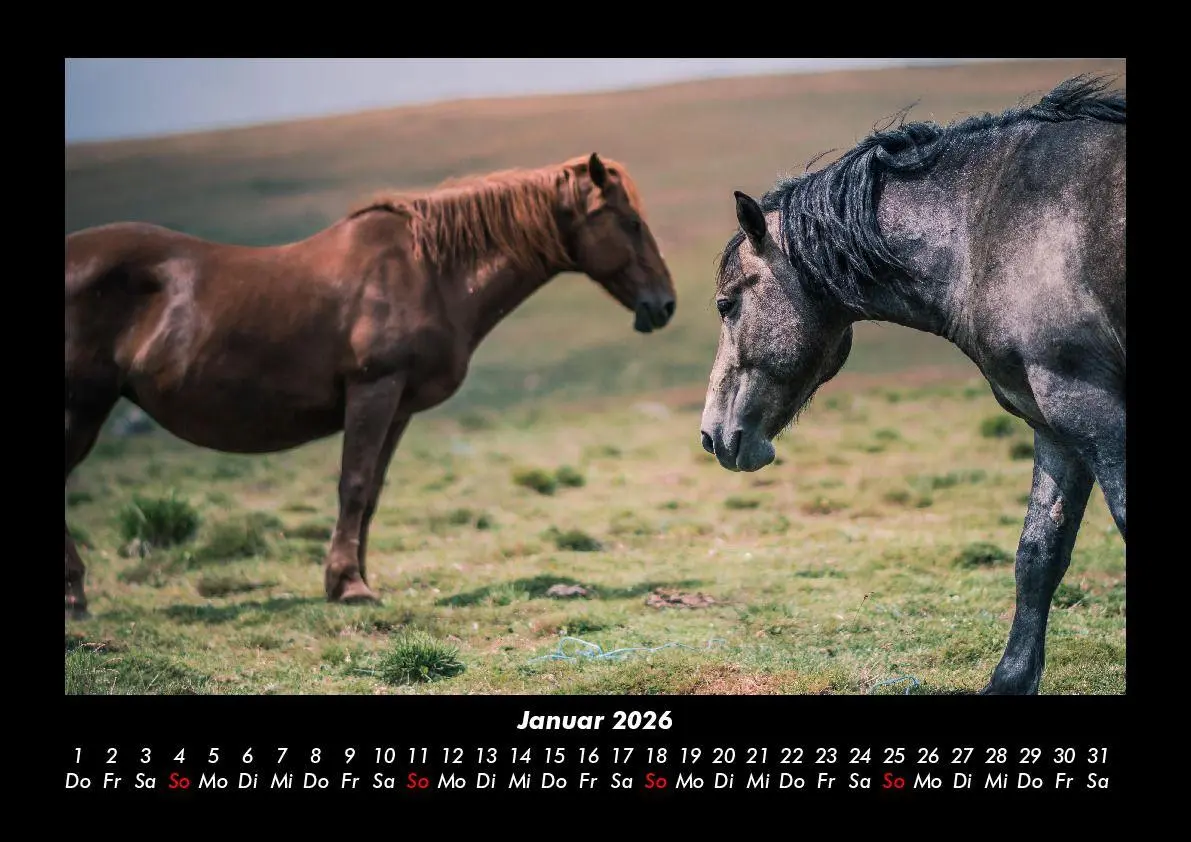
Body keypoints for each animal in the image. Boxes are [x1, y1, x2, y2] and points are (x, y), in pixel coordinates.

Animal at [66, 152, 676, 614]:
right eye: (630, 222)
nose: (665, 304)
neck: (428, 271)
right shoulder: (373, 391)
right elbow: (354, 485)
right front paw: (349, 585)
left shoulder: (398, 407)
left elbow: (373, 493)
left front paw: (351, 577)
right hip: (82, 408)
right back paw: (75, 596)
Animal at [699, 75, 1125, 695]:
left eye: (726, 305)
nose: (712, 436)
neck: (990, 225)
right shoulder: (1055, 422)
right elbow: (1038, 555)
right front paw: (1010, 679)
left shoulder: (1093, 407)